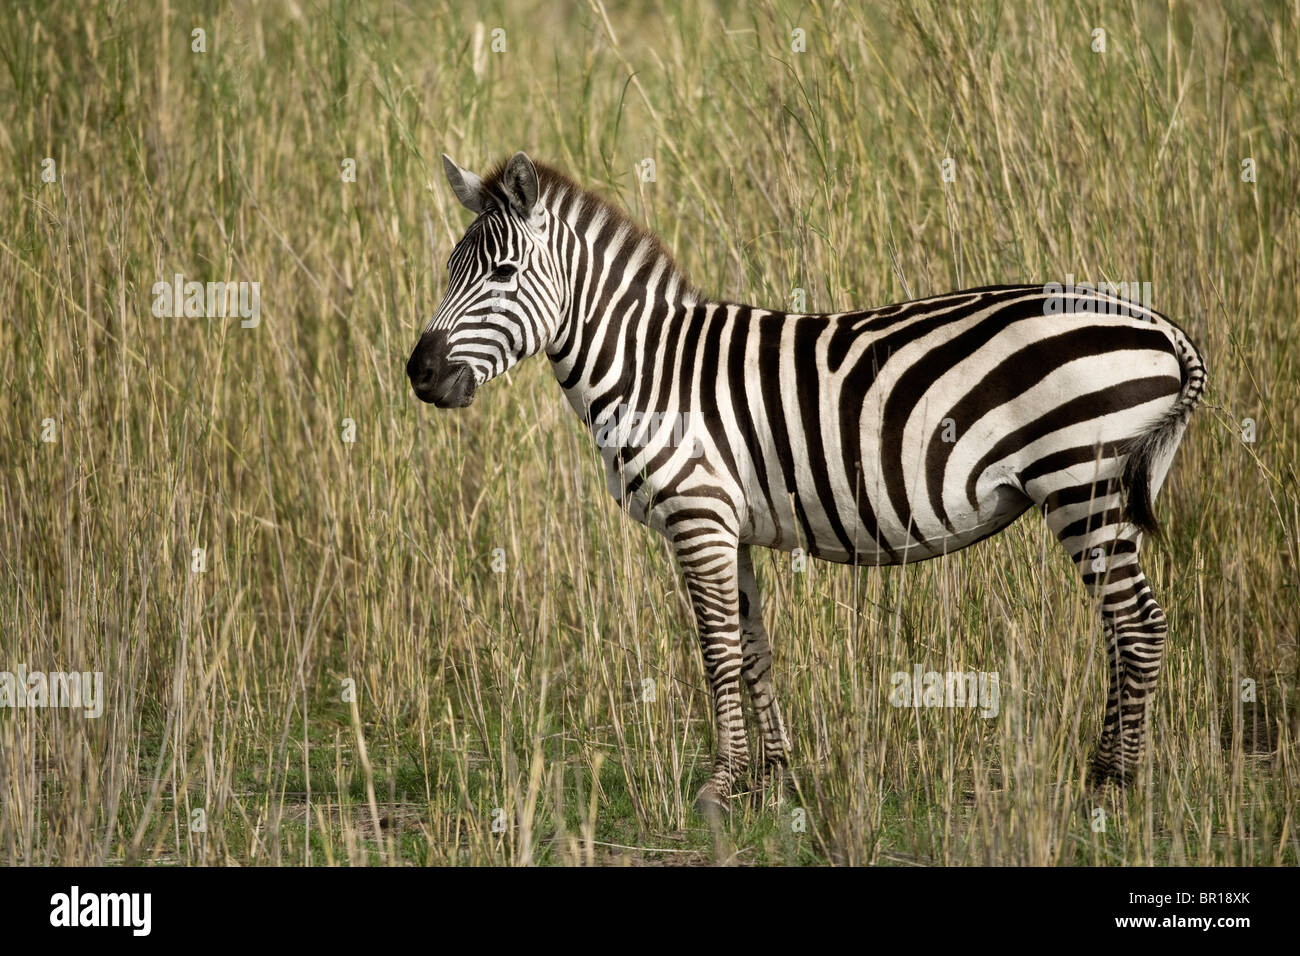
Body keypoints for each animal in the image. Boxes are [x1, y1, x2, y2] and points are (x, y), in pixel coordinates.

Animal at [408, 153, 1206, 811]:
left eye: (502, 275)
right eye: (449, 271)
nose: (419, 373)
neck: (650, 370)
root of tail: (1159, 325)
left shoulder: (696, 516)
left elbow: (718, 651)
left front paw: (720, 786)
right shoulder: (728, 526)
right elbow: (753, 648)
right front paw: (773, 779)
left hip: (1082, 484)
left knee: (1138, 625)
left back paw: (1112, 785)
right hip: (1099, 494)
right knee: (1124, 627)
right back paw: (1107, 771)